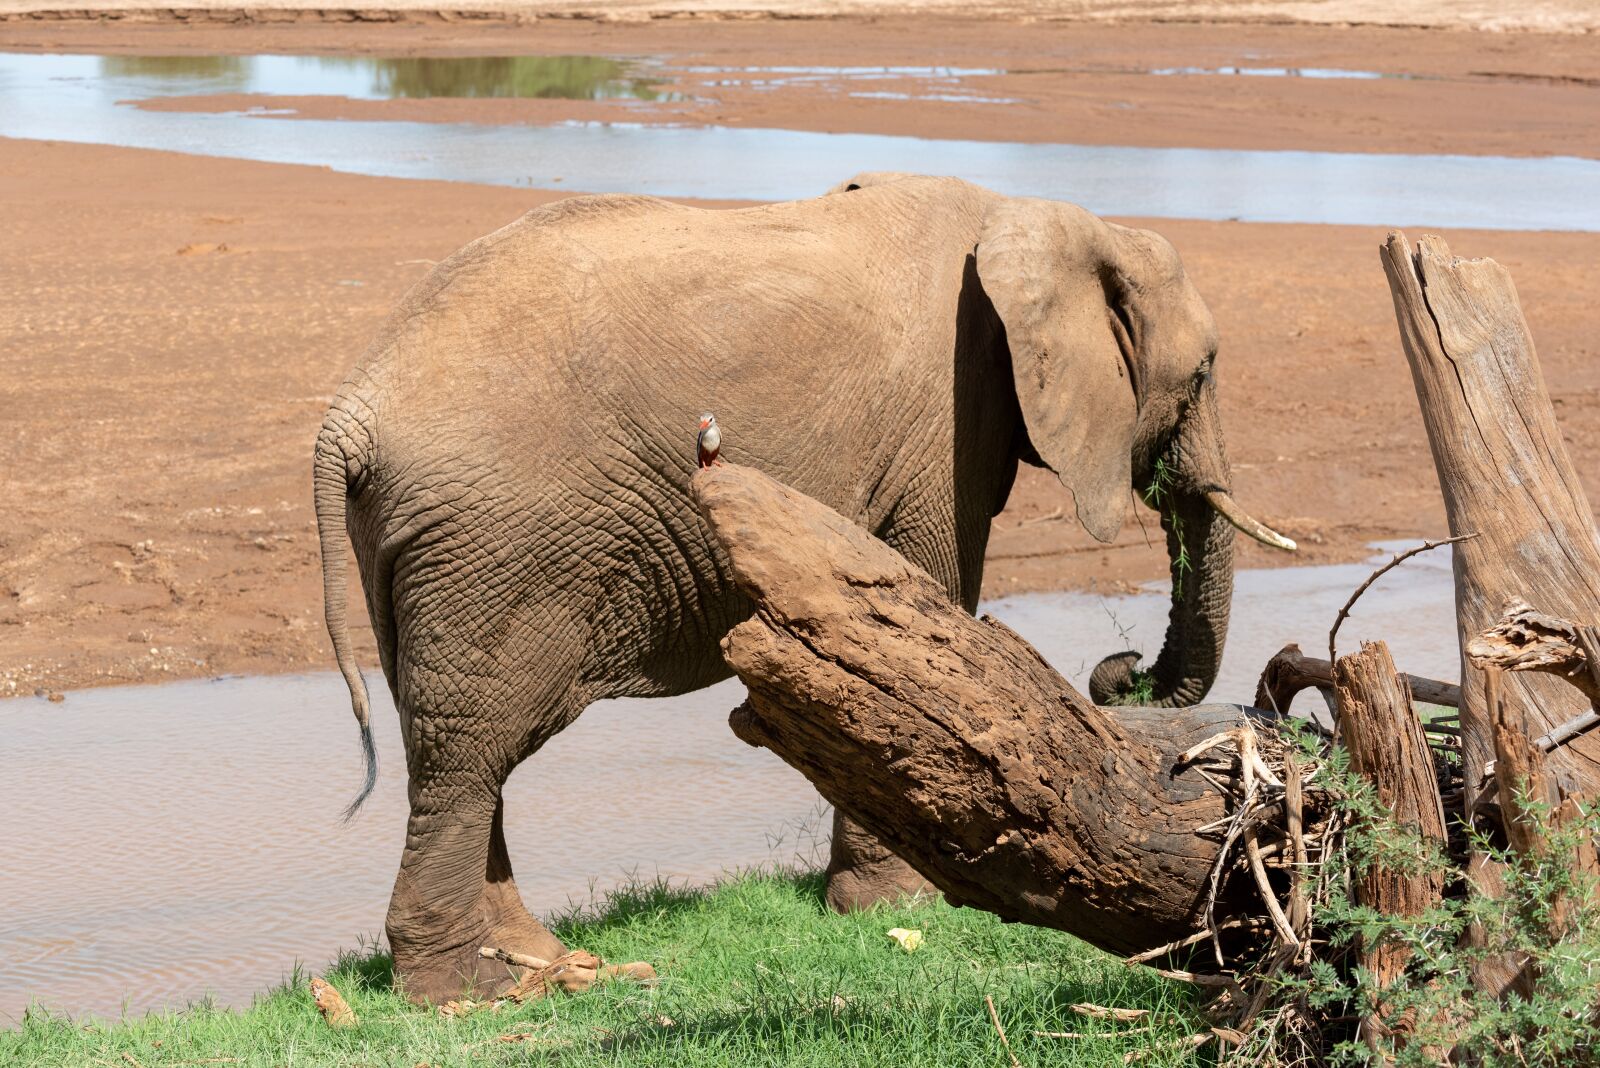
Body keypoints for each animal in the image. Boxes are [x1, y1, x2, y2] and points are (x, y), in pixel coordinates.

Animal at [313, 172, 1293, 1003]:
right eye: (1203, 372)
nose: (1121, 668)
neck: (1042, 216)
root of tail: (347, 417)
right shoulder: (948, 418)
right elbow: (929, 586)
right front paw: (903, 909)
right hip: (495, 545)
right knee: (468, 758)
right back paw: (468, 994)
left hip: (417, 549)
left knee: (457, 754)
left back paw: (540, 962)